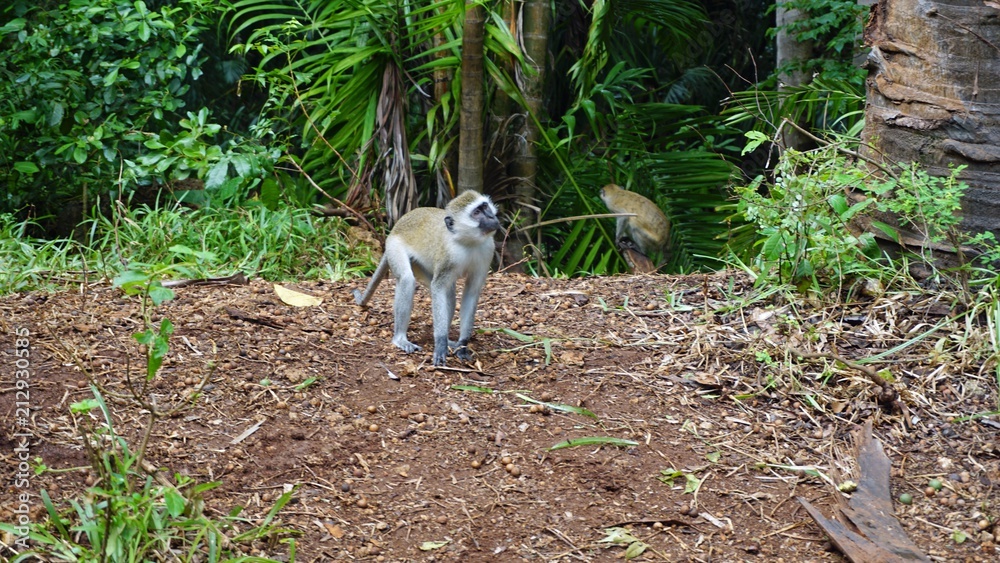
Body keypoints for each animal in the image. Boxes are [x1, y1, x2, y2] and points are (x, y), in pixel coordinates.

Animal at [352, 191, 501, 366]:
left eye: (485, 207)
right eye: (476, 213)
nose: (491, 217)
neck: (468, 242)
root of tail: (396, 227)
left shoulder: (487, 250)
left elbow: (471, 291)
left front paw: (462, 344)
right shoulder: (448, 256)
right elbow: (438, 288)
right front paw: (441, 343)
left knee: (448, 294)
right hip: (394, 247)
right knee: (407, 280)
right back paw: (400, 338)